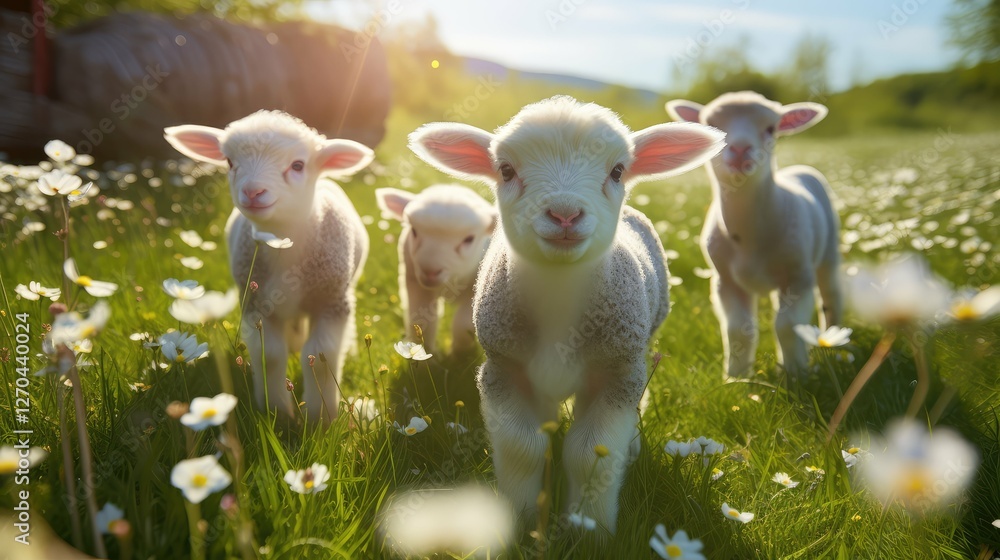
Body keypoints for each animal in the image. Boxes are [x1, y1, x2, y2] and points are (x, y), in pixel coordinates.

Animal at [164, 110, 373, 423]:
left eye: (298, 165)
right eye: (229, 162)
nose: (252, 191)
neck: (283, 241)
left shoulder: (332, 301)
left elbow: (321, 356)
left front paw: (321, 418)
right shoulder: (255, 302)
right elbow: (271, 355)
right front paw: (278, 412)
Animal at [375, 184, 497, 354]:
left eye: (469, 239)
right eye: (414, 231)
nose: (430, 271)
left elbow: (463, 324)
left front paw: (459, 353)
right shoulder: (415, 283)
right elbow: (421, 321)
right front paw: (425, 354)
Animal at [409, 96, 725, 532]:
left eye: (617, 170)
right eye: (506, 170)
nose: (564, 215)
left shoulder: (617, 372)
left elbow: (591, 454)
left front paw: (589, 527)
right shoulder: (502, 369)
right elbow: (524, 447)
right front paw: (521, 519)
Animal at [665, 91, 842, 378]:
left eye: (771, 128)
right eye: (712, 125)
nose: (739, 150)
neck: (749, 238)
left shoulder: (798, 277)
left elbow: (787, 325)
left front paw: (796, 373)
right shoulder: (725, 281)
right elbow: (738, 330)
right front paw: (736, 377)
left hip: (828, 252)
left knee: (831, 296)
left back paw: (833, 343)